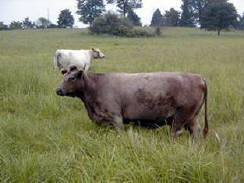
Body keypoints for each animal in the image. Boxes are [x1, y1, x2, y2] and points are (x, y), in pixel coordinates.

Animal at [56, 66, 209, 138]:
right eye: (63, 77)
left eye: (72, 78)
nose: (58, 90)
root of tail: (198, 77)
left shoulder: (116, 118)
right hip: (192, 116)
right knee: (195, 130)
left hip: (181, 116)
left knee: (176, 132)